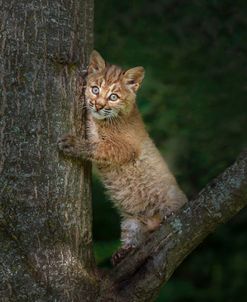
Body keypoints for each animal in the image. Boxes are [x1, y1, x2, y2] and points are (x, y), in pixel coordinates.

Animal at [58, 51, 186, 264]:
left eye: (113, 96)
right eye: (95, 89)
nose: (98, 105)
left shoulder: (123, 147)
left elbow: (96, 146)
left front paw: (72, 143)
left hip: (173, 199)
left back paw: (166, 219)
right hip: (130, 221)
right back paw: (124, 251)